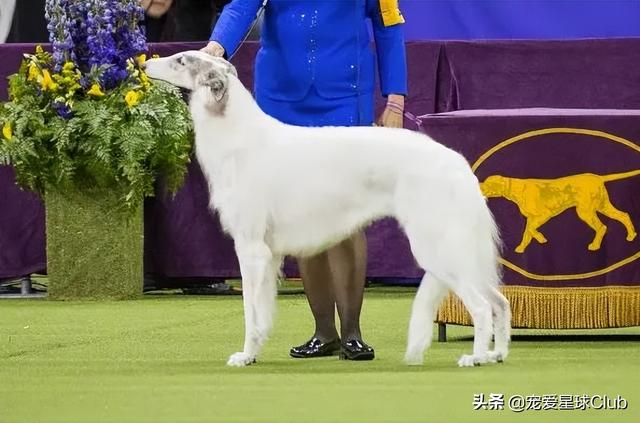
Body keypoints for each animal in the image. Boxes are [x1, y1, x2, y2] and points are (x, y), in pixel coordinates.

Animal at [145, 50, 510, 368]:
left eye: (181, 60)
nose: (144, 63)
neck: (239, 135)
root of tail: (456, 161)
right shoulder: (269, 256)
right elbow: (262, 313)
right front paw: (255, 352)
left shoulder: (250, 249)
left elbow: (251, 313)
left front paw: (244, 356)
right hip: (459, 253)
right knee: (500, 301)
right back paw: (497, 354)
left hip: (437, 249)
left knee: (481, 306)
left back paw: (476, 357)